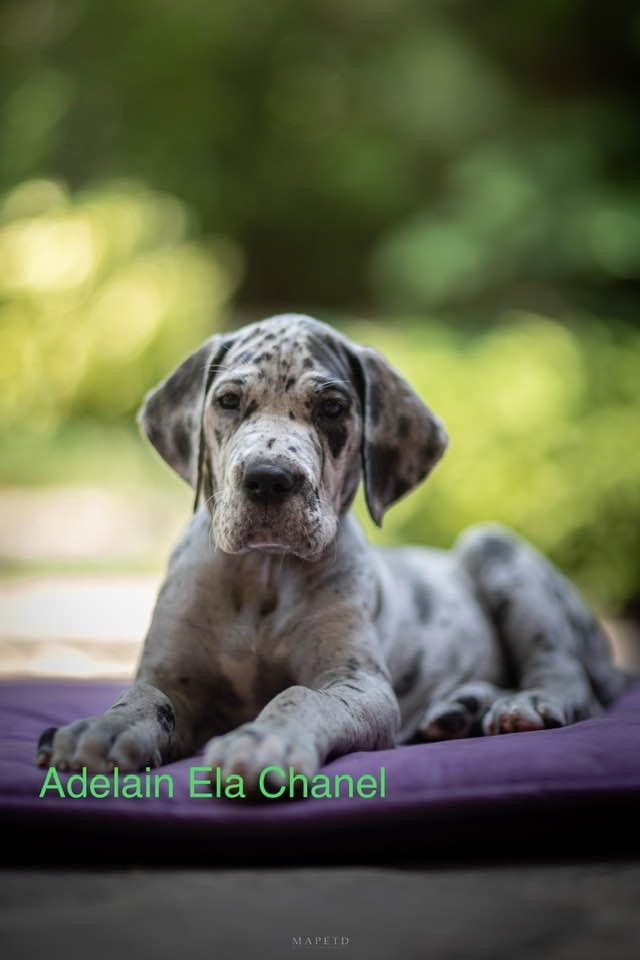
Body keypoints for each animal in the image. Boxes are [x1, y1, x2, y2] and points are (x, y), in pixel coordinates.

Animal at [36, 314, 628, 791]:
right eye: (228, 401)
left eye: (332, 407)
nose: (269, 479)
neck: (263, 575)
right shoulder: (172, 678)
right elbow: (145, 698)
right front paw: (101, 729)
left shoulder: (358, 684)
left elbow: (301, 696)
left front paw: (265, 740)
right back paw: (456, 710)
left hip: (495, 551)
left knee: (566, 674)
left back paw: (522, 704)